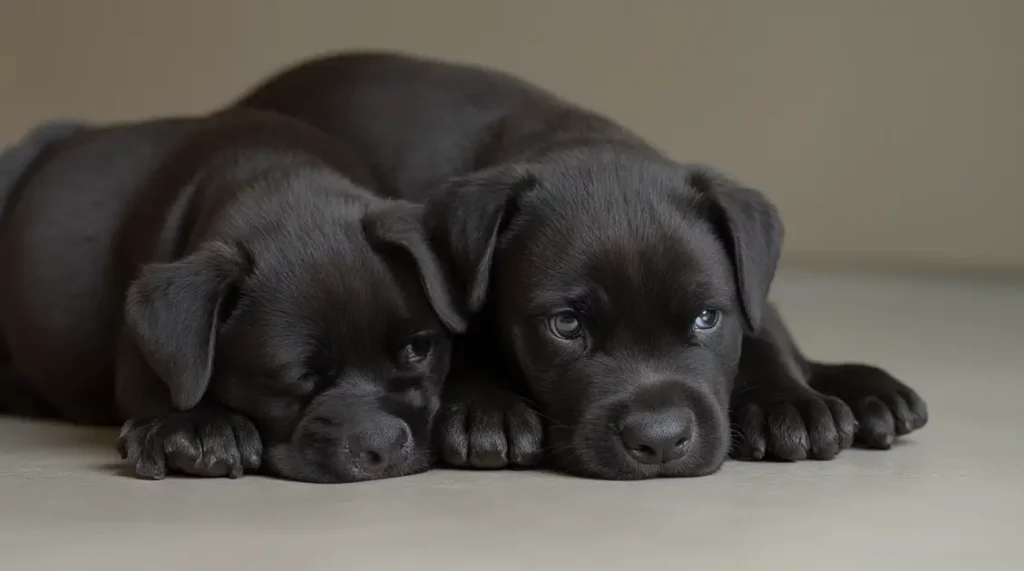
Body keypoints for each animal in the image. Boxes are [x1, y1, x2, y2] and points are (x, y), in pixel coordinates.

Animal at [0, 108, 464, 482]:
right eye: (296, 376)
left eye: (418, 349)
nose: (384, 447)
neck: (281, 179)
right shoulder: (141, 355)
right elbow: (176, 383)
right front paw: (202, 428)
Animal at [237, 52, 929, 478]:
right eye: (566, 326)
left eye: (708, 318)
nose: (660, 439)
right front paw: (486, 410)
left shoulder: (750, 299)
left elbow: (761, 334)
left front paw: (789, 400)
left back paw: (870, 391)